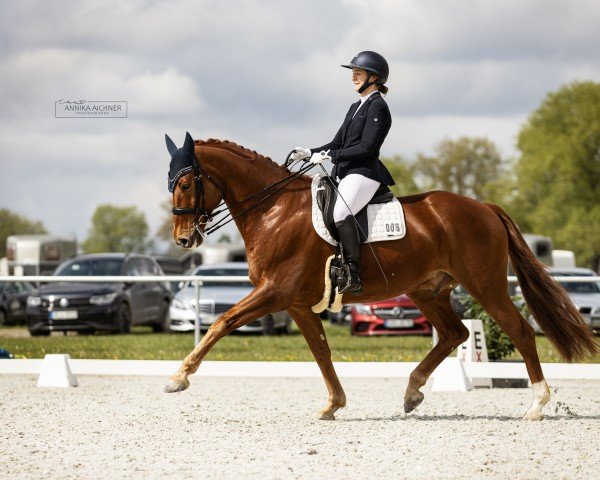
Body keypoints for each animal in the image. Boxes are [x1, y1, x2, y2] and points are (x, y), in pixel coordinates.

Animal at [164, 135, 600, 420]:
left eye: (184, 183)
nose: (184, 239)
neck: (273, 209)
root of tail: (485, 208)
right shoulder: (298, 303)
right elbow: (321, 352)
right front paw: (333, 404)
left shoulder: (275, 292)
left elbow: (222, 322)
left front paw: (178, 379)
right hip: (428, 291)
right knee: (455, 334)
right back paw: (411, 393)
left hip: (485, 285)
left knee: (519, 331)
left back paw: (537, 405)